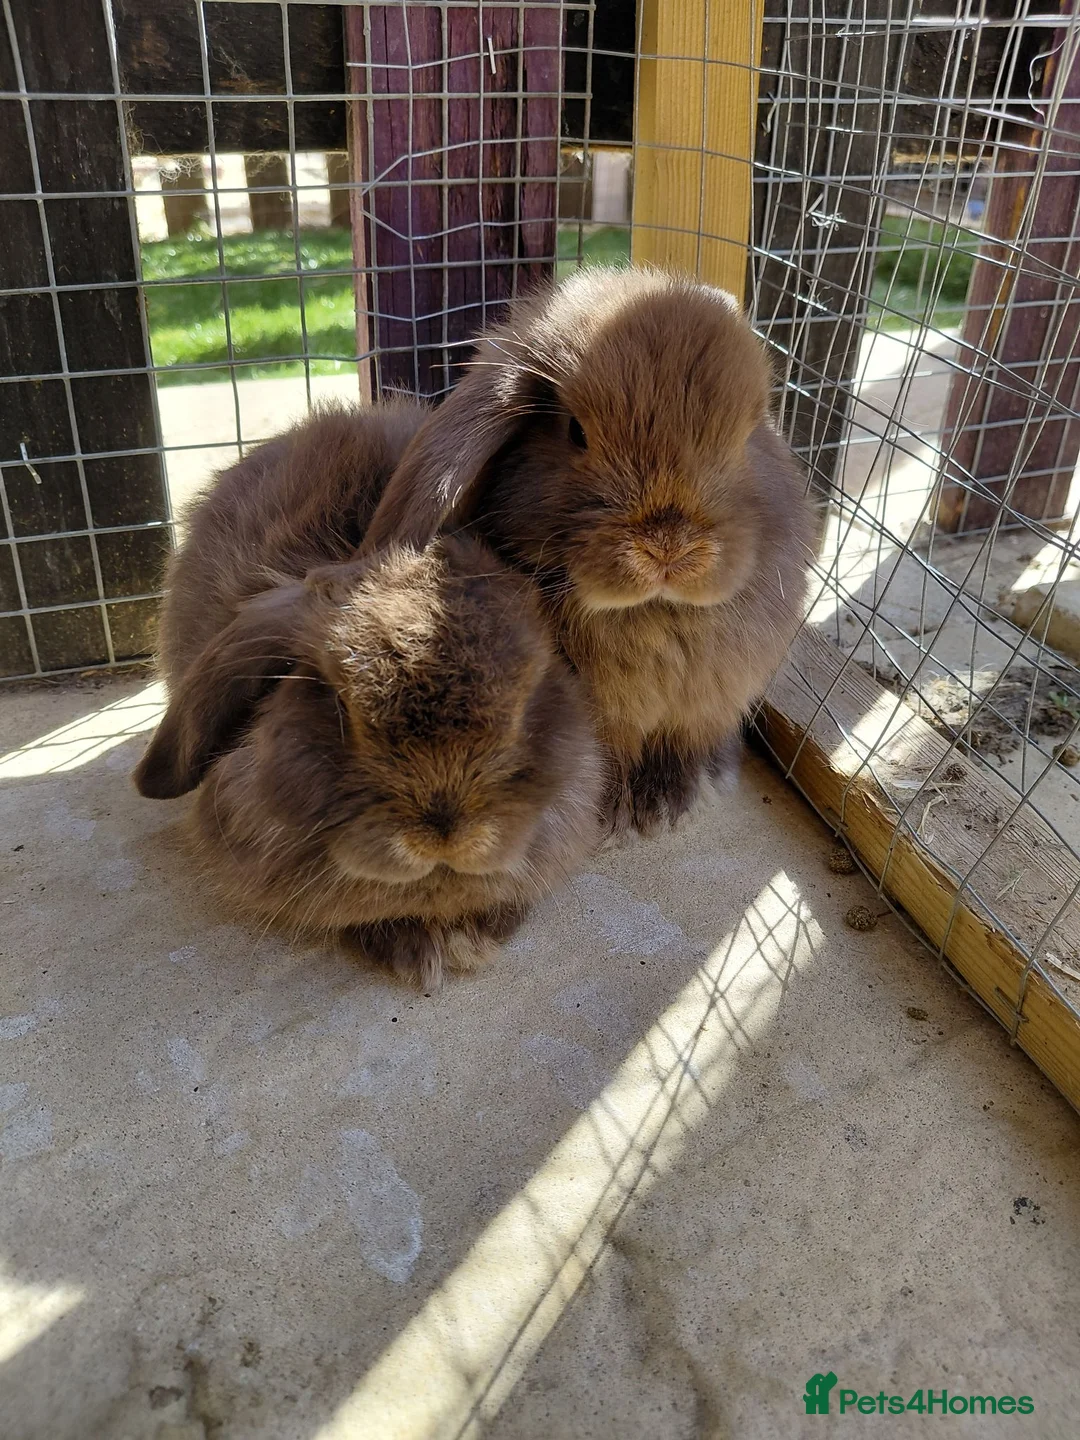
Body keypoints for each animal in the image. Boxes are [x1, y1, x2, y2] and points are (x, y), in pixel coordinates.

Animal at [361, 267, 815, 834]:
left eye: (747, 436)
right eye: (575, 431)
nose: (668, 546)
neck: (656, 616)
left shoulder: (705, 709)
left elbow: (681, 746)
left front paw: (671, 803)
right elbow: (611, 752)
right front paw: (617, 808)